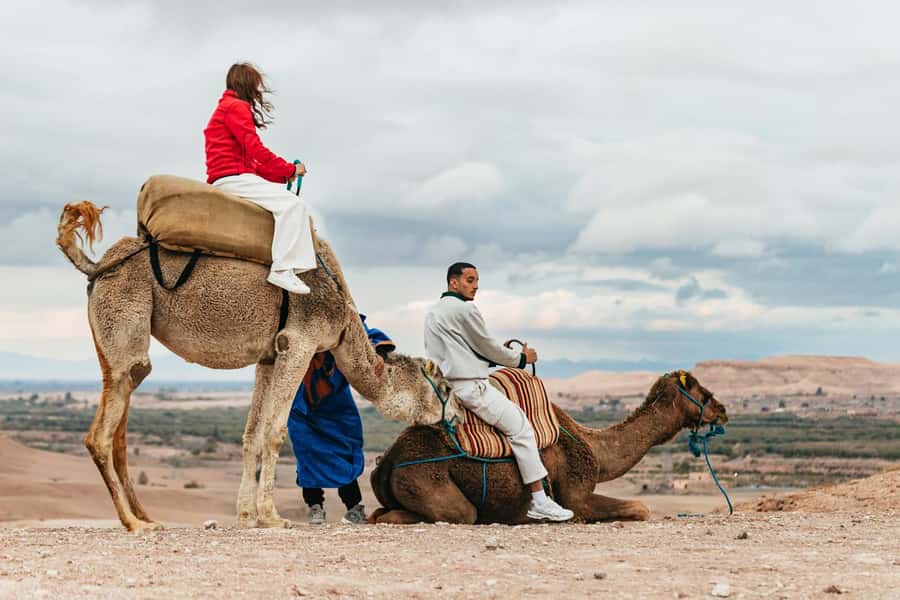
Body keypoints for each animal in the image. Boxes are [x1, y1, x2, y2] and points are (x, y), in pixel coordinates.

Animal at [55, 200, 462, 532]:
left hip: (108, 341)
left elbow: (253, 433)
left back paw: (146, 517)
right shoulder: (300, 342)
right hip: (125, 316)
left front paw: (247, 515)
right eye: (444, 387)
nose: (457, 415)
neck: (343, 319)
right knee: (103, 431)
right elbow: (275, 432)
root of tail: (98, 265)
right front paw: (272, 516)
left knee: (120, 424)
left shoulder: (269, 355)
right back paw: (132, 523)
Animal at [369, 371, 727, 524]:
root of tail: (388, 461)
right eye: (701, 390)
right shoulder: (576, 497)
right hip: (427, 480)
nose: (722, 409)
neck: (594, 447)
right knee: (455, 514)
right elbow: (641, 507)